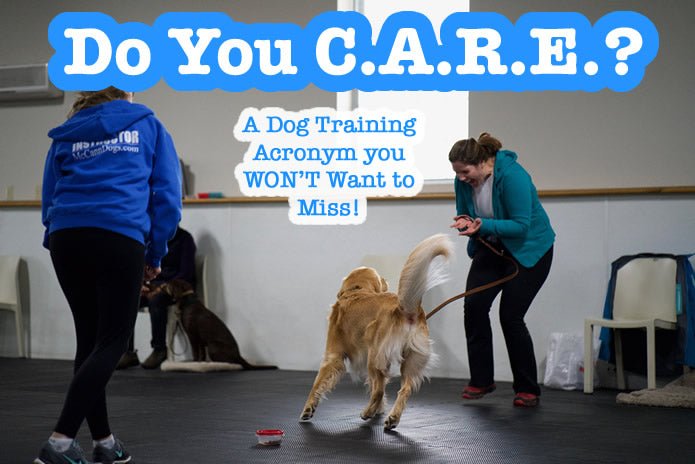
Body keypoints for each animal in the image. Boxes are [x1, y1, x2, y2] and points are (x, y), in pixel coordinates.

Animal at [299, 234, 453, 430]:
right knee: (403, 389)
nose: (386, 281)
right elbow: (376, 385)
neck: (356, 291)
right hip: (409, 359)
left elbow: (316, 384)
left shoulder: (333, 356)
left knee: (379, 390)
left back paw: (367, 413)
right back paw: (392, 418)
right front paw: (380, 410)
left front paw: (308, 409)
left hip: (374, 356)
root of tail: (405, 309)